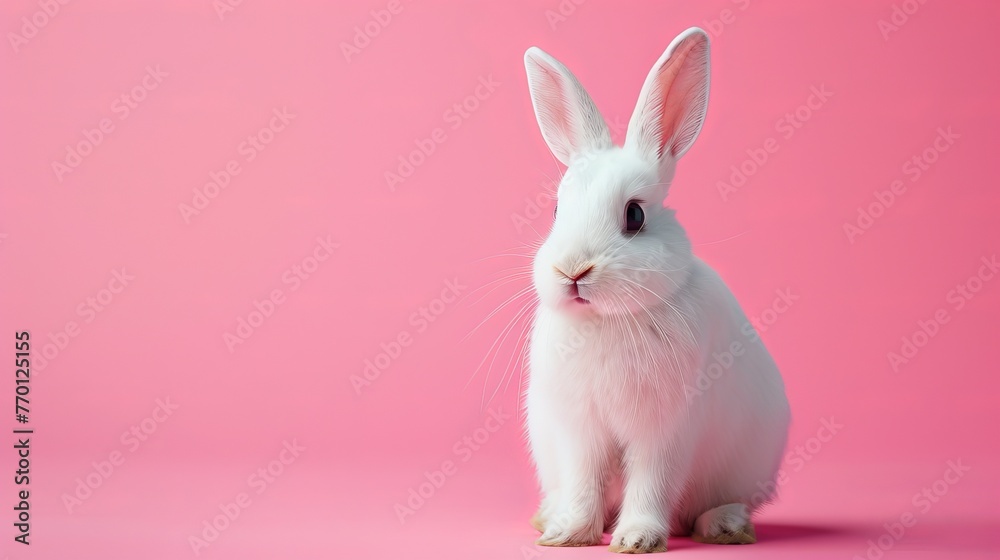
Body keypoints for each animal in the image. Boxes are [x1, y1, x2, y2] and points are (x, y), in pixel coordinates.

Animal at [524, 27, 788, 552]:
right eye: (557, 212)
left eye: (635, 215)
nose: (572, 271)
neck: (608, 319)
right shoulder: (579, 430)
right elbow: (584, 483)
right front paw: (569, 534)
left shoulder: (665, 430)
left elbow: (651, 481)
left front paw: (637, 540)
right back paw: (548, 516)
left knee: (716, 504)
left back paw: (725, 527)